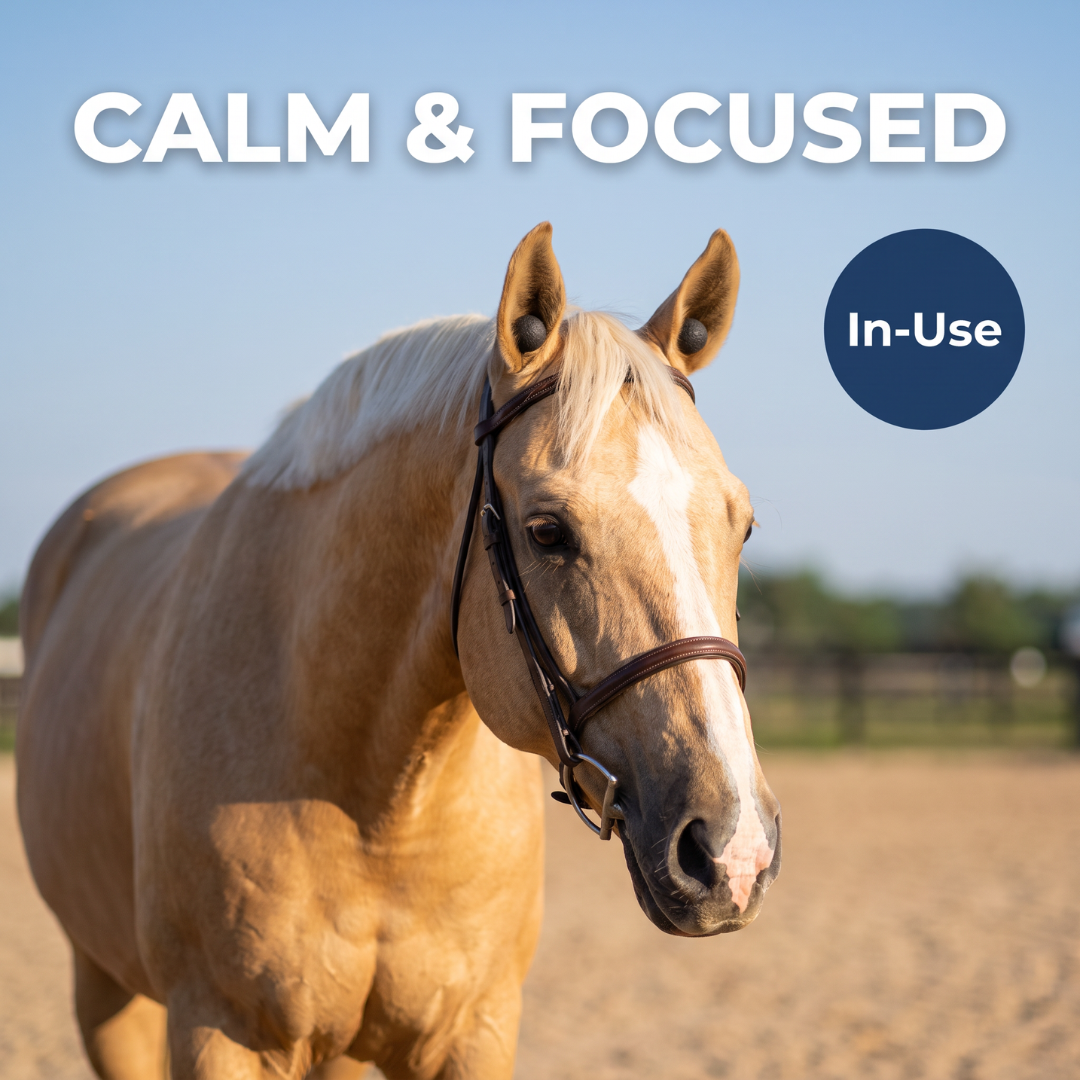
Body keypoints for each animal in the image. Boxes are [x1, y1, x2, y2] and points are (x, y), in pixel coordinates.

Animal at [16, 222, 781, 1080]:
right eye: (547, 531)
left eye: (742, 524)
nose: (732, 850)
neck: (380, 807)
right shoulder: (216, 1030)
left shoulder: (475, 1031)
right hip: (105, 989)